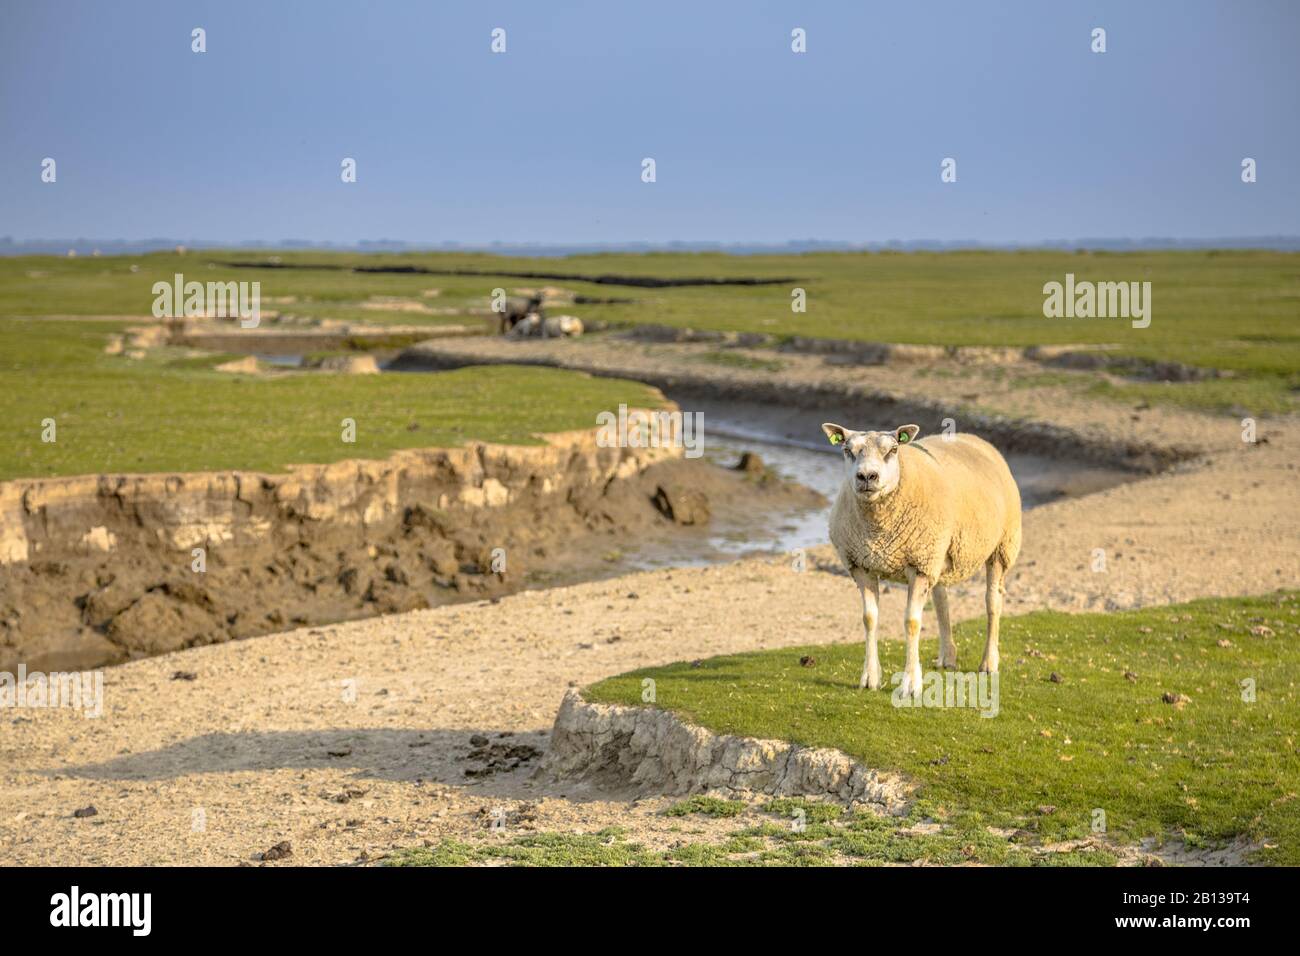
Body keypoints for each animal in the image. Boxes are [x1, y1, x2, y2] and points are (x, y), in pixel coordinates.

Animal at [821, 421, 1024, 697]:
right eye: (847, 450)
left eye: (893, 450)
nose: (867, 477)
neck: (877, 530)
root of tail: (972, 437)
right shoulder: (861, 565)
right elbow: (869, 619)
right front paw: (870, 677)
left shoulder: (919, 566)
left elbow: (912, 622)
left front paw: (911, 684)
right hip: (938, 553)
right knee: (942, 601)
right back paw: (947, 656)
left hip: (1001, 547)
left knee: (993, 602)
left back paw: (989, 662)